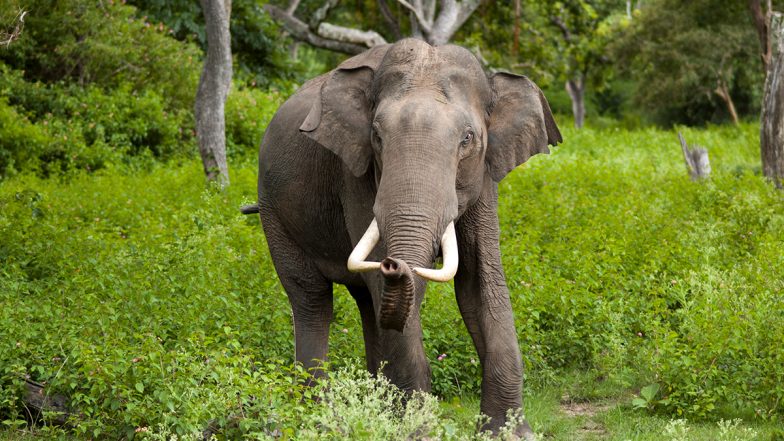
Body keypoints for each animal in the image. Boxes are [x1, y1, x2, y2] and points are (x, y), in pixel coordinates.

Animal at [248, 38, 560, 436]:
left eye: (467, 139)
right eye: (377, 136)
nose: (394, 264)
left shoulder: (485, 176)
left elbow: (480, 283)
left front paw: (509, 434)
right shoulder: (356, 174)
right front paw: (415, 432)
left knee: (367, 304)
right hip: (273, 210)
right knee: (312, 300)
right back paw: (320, 419)